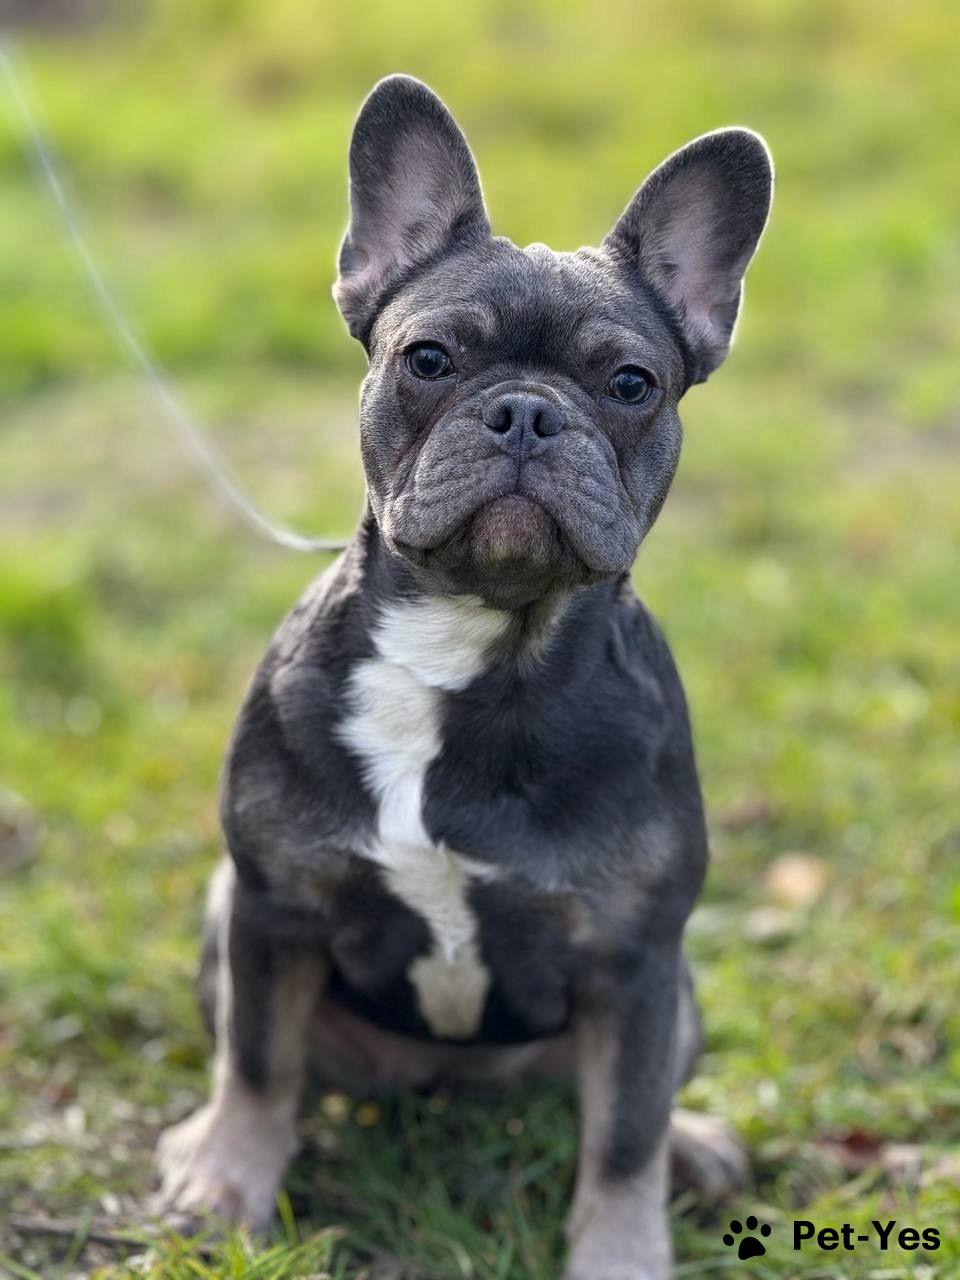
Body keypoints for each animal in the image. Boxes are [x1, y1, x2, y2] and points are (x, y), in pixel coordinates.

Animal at [155, 75, 773, 1279]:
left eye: (632, 383)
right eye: (429, 359)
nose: (526, 410)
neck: (472, 649)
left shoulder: (636, 961)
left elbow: (622, 1135)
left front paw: (621, 1252)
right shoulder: (273, 909)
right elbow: (257, 1062)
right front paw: (226, 1184)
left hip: (679, 989)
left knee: (627, 1107)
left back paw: (696, 1144)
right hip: (222, 917)